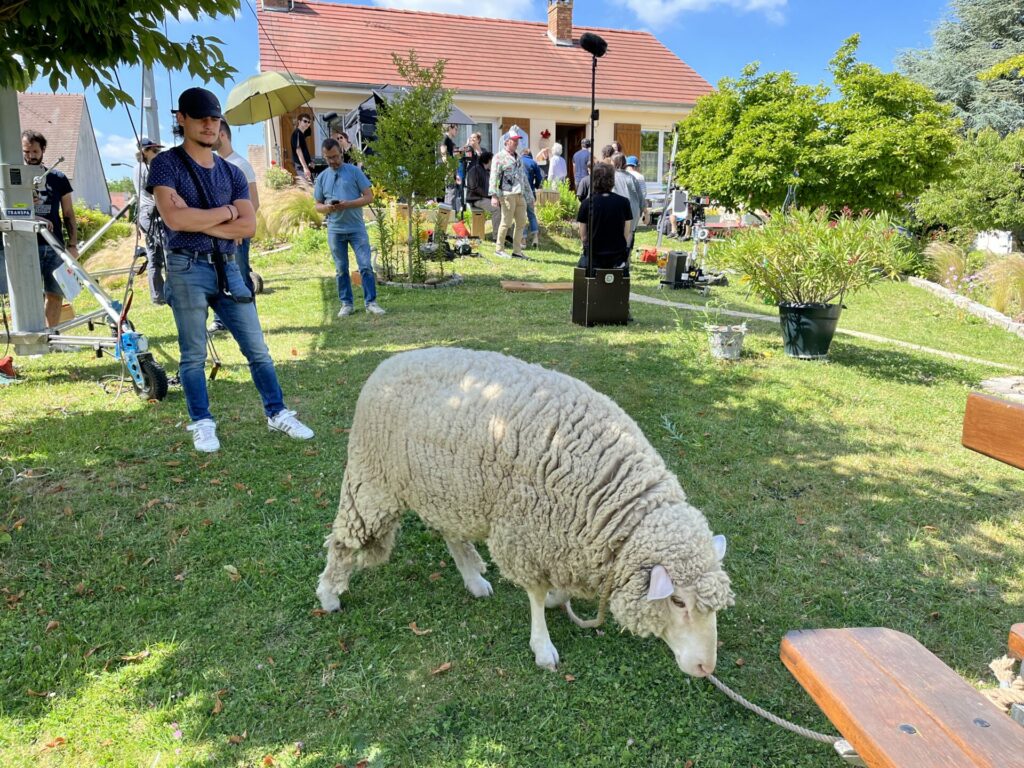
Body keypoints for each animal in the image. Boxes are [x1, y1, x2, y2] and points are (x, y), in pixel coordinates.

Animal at [316, 347, 733, 677]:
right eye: (678, 602)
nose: (706, 667)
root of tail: (389, 362)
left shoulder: (561, 534)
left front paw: (558, 599)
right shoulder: (526, 533)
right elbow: (534, 594)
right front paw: (543, 646)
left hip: (446, 488)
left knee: (451, 534)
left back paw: (473, 577)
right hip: (372, 482)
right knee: (343, 541)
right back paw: (329, 596)